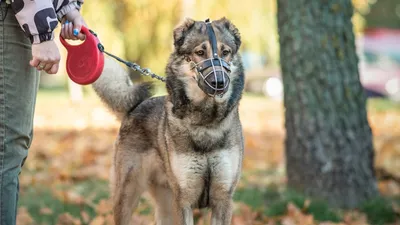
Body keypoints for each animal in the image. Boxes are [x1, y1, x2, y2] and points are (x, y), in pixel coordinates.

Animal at [92, 16, 245, 224]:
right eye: (199, 52)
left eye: (226, 52)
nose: (219, 83)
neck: (206, 121)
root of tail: (134, 107)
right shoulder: (183, 201)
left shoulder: (223, 199)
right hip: (127, 195)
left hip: (165, 203)